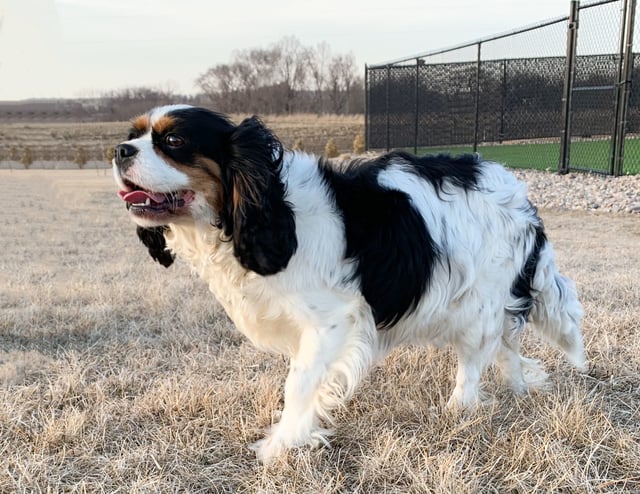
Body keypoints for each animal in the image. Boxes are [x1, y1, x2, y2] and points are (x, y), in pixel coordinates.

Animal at [112, 104, 588, 464]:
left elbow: (299, 384)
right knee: (506, 346)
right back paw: (519, 387)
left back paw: (461, 408)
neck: (266, 208)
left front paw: (282, 444)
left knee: (477, 360)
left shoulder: (333, 321)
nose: (118, 150)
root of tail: (521, 194)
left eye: (174, 142)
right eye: (134, 135)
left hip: (479, 303)